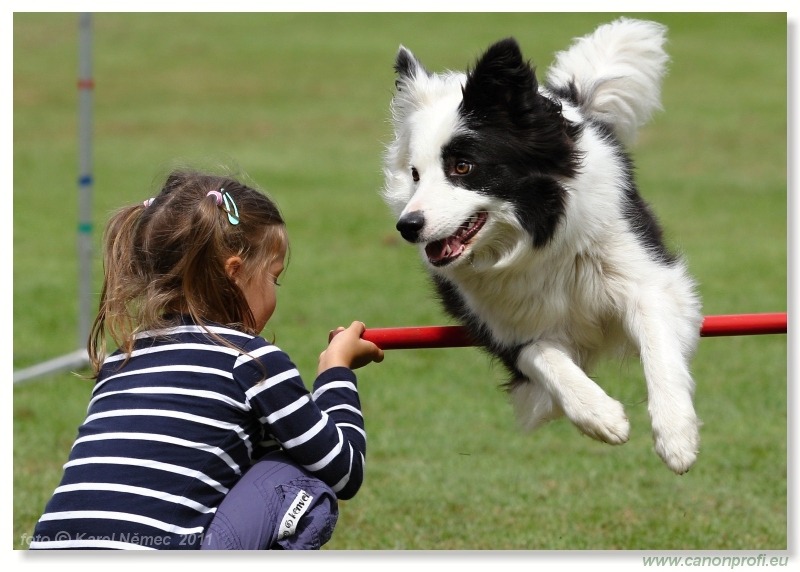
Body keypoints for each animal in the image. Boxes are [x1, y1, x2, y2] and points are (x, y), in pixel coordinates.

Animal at [384, 17, 704, 474]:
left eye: (463, 166)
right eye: (415, 173)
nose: (407, 227)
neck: (539, 239)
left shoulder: (648, 278)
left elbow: (658, 345)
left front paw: (677, 436)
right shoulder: (502, 325)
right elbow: (543, 357)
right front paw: (601, 415)